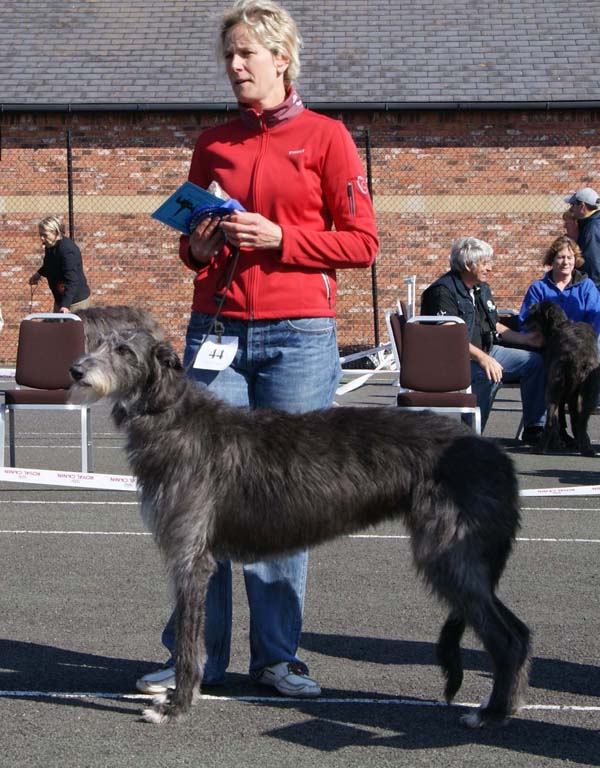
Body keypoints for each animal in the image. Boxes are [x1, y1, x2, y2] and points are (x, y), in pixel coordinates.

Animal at [69, 324, 528, 732]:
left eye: (125, 351)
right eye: (97, 342)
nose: (75, 370)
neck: (171, 416)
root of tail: (497, 456)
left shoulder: (191, 558)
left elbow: (187, 642)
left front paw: (175, 707)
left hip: (451, 553)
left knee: (507, 636)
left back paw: (489, 713)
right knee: (518, 631)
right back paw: (504, 707)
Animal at [524, 300, 596, 456]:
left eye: (533, 311)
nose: (523, 322)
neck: (559, 325)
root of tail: (574, 356)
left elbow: (560, 417)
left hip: (553, 388)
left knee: (552, 420)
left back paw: (541, 447)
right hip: (589, 392)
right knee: (581, 420)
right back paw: (586, 448)